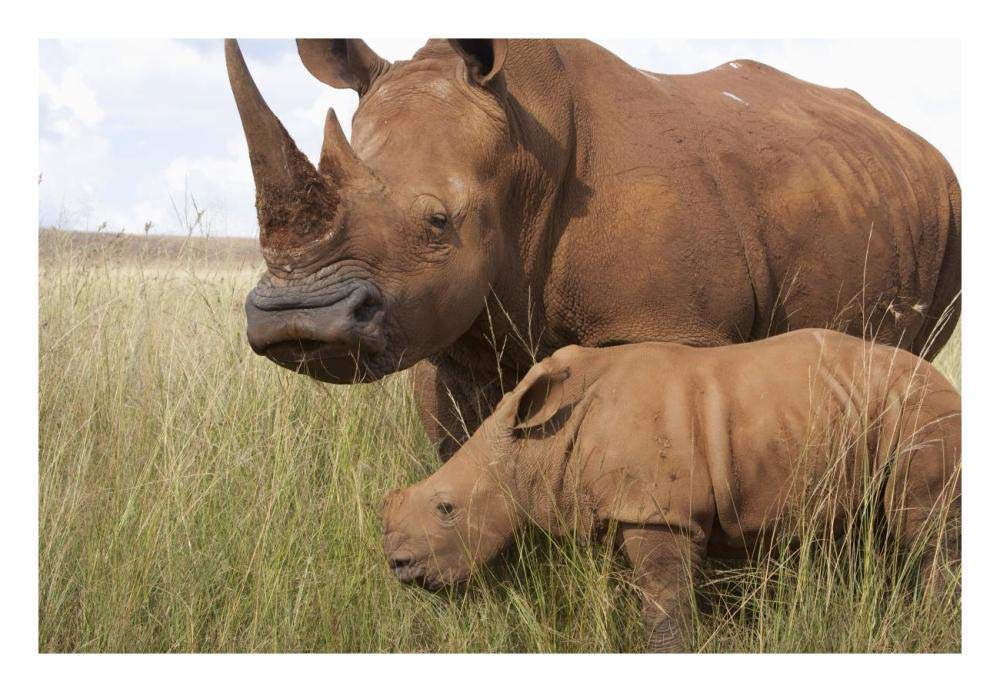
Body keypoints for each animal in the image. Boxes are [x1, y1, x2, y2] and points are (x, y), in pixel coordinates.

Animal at [226, 39, 961, 460]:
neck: (522, 148)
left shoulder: (670, 324)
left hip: (951, 204)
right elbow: (460, 449)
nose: (297, 320)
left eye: (438, 221)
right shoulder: (448, 331)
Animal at [381, 329, 962, 652]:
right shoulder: (622, 505)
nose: (398, 566)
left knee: (920, 528)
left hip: (923, 413)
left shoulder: (660, 512)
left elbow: (664, 603)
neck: (535, 446)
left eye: (446, 508)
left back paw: (931, 623)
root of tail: (946, 382)